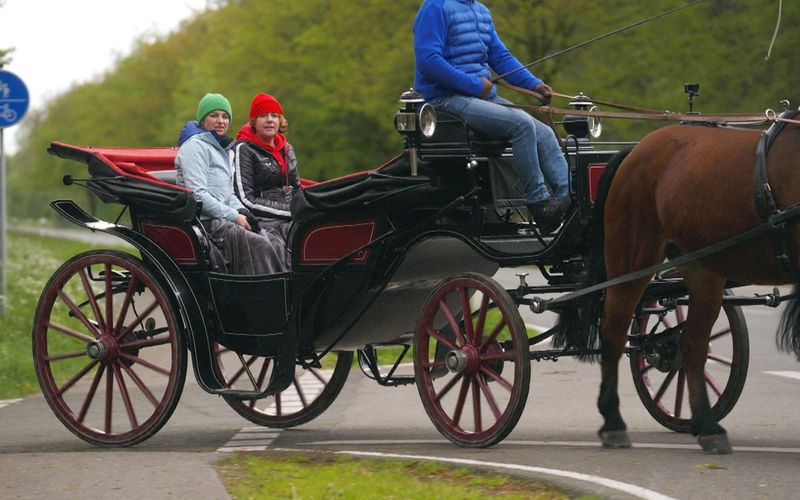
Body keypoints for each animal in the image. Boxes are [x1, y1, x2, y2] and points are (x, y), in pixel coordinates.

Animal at [560, 120, 800, 454]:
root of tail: (636, 149)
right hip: (633, 260)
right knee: (613, 331)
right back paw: (613, 423)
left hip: (702, 270)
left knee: (691, 344)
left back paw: (707, 426)